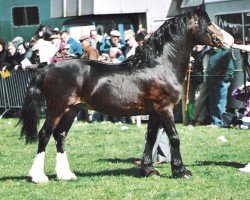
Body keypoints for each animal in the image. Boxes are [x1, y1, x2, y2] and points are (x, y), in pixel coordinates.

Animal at [19, 7, 234, 184]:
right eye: (209, 24)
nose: (231, 40)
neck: (160, 65)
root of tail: (48, 68)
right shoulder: (165, 109)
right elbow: (174, 137)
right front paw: (181, 171)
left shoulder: (154, 112)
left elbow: (150, 138)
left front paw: (148, 170)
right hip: (57, 108)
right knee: (45, 134)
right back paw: (38, 176)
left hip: (71, 110)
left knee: (60, 135)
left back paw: (65, 174)